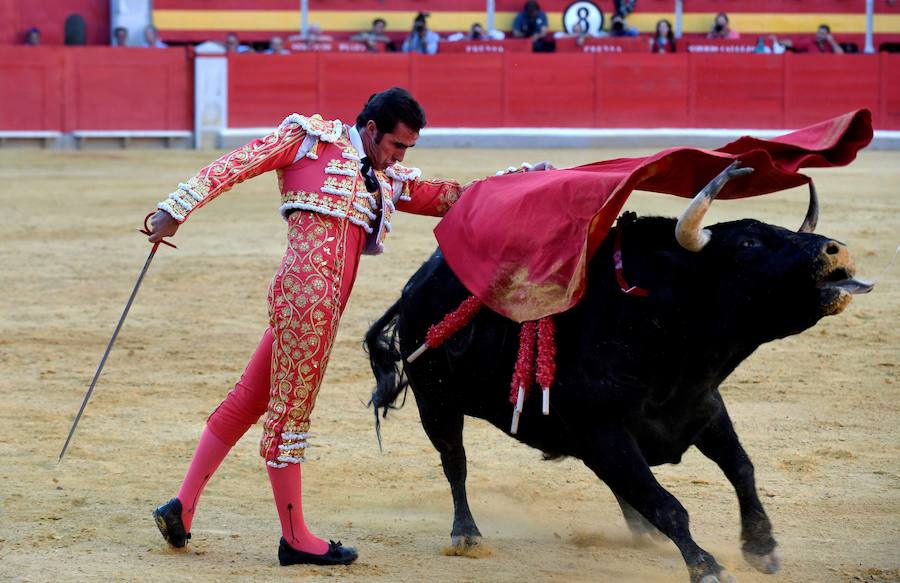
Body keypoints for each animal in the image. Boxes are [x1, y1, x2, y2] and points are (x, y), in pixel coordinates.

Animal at [364, 164, 872, 583]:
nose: (836, 250)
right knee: (456, 462)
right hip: (436, 401)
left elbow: (741, 469)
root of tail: (413, 287)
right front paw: (706, 566)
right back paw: (466, 535)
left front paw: (762, 548)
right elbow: (668, 504)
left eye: (781, 230)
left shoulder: (703, 408)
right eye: (748, 245)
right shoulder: (603, 431)